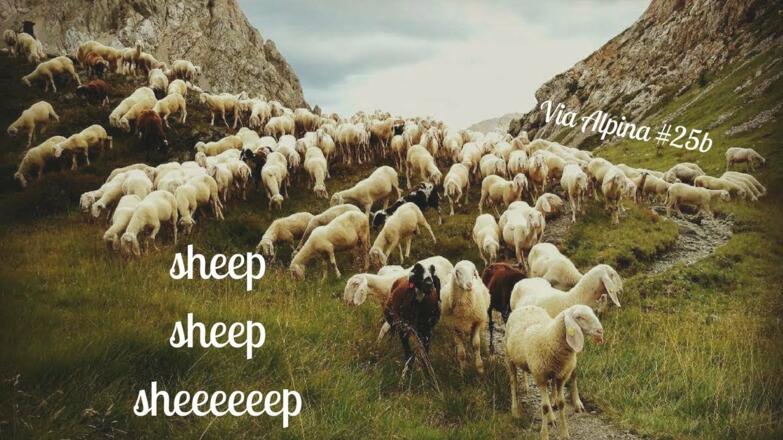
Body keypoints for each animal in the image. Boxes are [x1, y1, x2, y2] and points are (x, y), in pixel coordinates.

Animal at [505, 304, 604, 439]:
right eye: (579, 317)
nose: (600, 331)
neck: (550, 337)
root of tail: (527, 306)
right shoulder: (540, 377)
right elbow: (545, 407)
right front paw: (544, 434)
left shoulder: (562, 377)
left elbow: (561, 403)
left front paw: (564, 433)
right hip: (509, 357)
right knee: (513, 383)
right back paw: (515, 411)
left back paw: (551, 418)